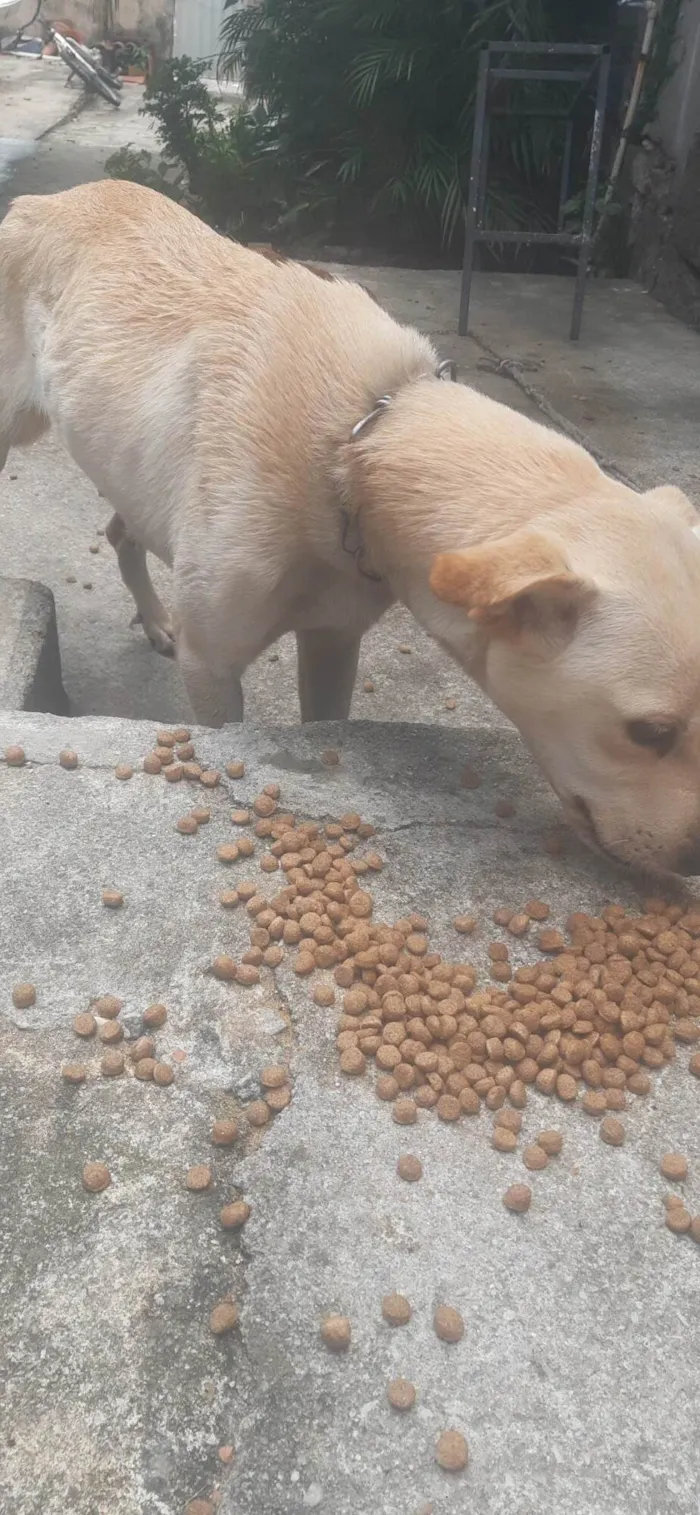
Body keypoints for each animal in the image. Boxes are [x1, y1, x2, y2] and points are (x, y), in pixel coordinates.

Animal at [1, 177, 700, 872]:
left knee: (122, 533)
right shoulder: (212, 666)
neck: (358, 442)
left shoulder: (334, 640)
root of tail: (44, 198)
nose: (693, 862)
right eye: (649, 732)